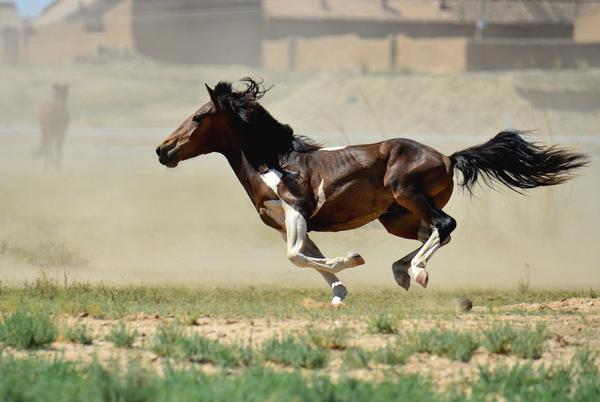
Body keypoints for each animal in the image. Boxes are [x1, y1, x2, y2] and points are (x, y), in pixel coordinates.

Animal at [156, 78, 592, 304]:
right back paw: (403, 271)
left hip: (408, 194)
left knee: (445, 225)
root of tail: (447, 157)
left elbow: (297, 256)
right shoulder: (288, 224)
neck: (273, 162)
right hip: (396, 218)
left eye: (198, 117)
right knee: (433, 234)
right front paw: (338, 292)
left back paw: (416, 272)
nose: (163, 150)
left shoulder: (296, 212)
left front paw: (351, 260)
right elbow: (307, 258)